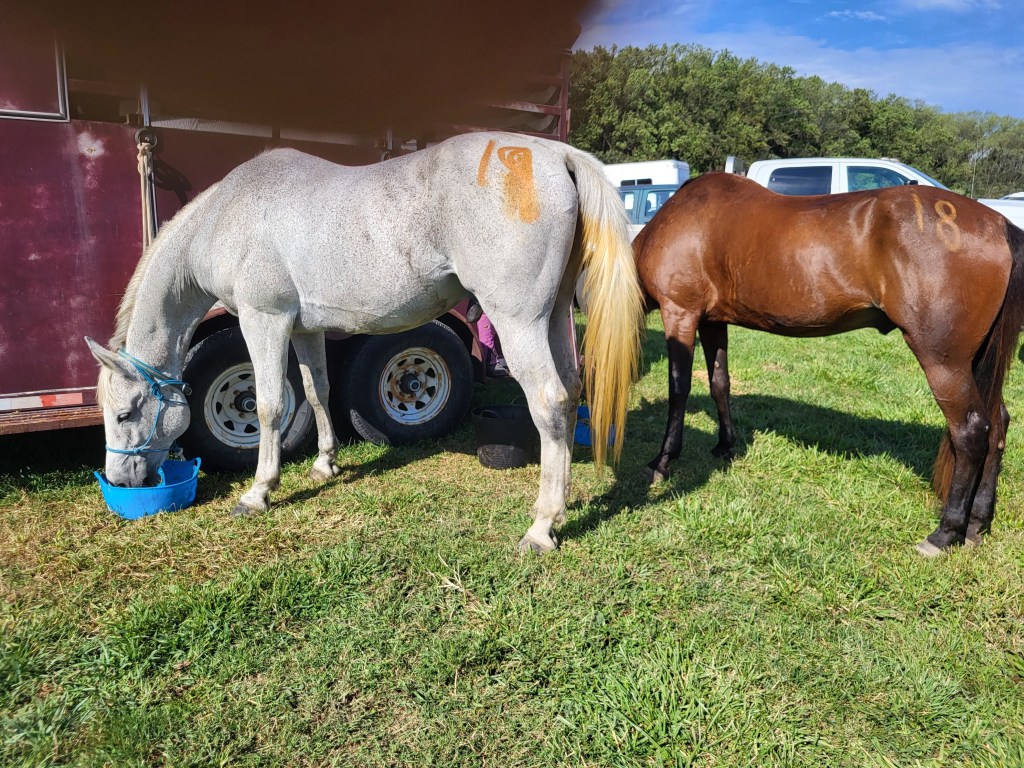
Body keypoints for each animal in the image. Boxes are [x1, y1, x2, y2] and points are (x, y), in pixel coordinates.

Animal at [85, 132, 644, 553]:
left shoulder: (264, 321)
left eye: (124, 413)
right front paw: (324, 464)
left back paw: (542, 526)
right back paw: (562, 503)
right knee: (571, 392)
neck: (228, 216)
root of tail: (555, 154)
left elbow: (267, 405)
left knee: (548, 401)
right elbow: (316, 392)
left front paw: (259, 491)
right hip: (553, 317)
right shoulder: (305, 328)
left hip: (519, 321)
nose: (121, 479)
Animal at [634, 172, 1024, 556]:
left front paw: (662, 461)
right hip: (976, 361)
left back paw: (945, 533)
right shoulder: (713, 321)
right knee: (997, 425)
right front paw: (725, 445)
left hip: (944, 361)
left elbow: (679, 388)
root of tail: (998, 224)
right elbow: (719, 382)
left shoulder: (680, 312)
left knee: (971, 431)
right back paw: (976, 525)